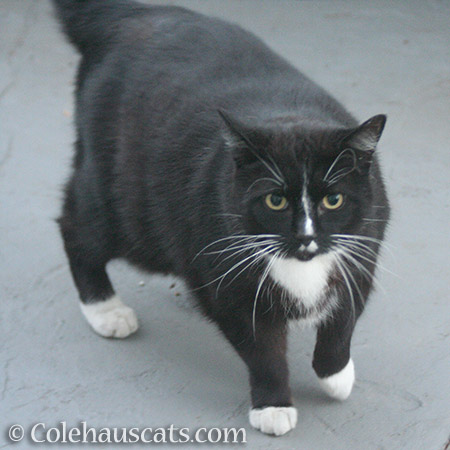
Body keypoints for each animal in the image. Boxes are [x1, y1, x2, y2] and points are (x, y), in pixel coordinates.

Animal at [53, 0, 390, 436]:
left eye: (333, 200)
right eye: (275, 200)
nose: (306, 238)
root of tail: (130, 15)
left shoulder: (365, 245)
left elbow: (344, 317)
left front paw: (336, 375)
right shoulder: (226, 279)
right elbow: (261, 348)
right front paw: (273, 405)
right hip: (132, 205)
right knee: (78, 225)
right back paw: (105, 309)